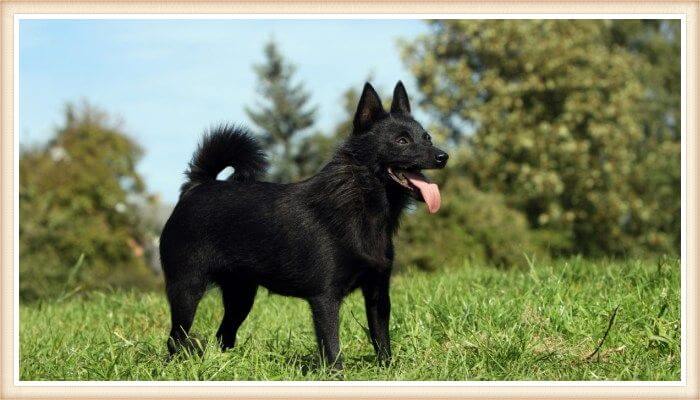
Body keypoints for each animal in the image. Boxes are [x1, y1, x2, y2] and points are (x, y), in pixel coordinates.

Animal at [160, 82, 448, 368]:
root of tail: (197, 186)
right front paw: (336, 375)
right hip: (187, 290)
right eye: (402, 141)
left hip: (241, 296)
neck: (362, 203)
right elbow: (332, 347)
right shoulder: (325, 299)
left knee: (223, 336)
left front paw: (387, 371)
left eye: (427, 138)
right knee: (175, 338)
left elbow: (381, 339)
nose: (443, 156)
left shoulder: (378, 295)